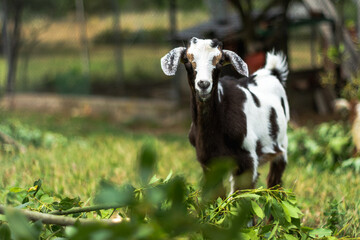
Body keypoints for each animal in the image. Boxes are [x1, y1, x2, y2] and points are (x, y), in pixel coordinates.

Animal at [160, 38, 290, 195]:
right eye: (186, 59)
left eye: (221, 61)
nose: (203, 84)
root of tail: (272, 72)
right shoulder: (208, 162)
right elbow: (217, 194)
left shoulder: (248, 159)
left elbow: (241, 194)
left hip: (282, 143)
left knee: (275, 180)